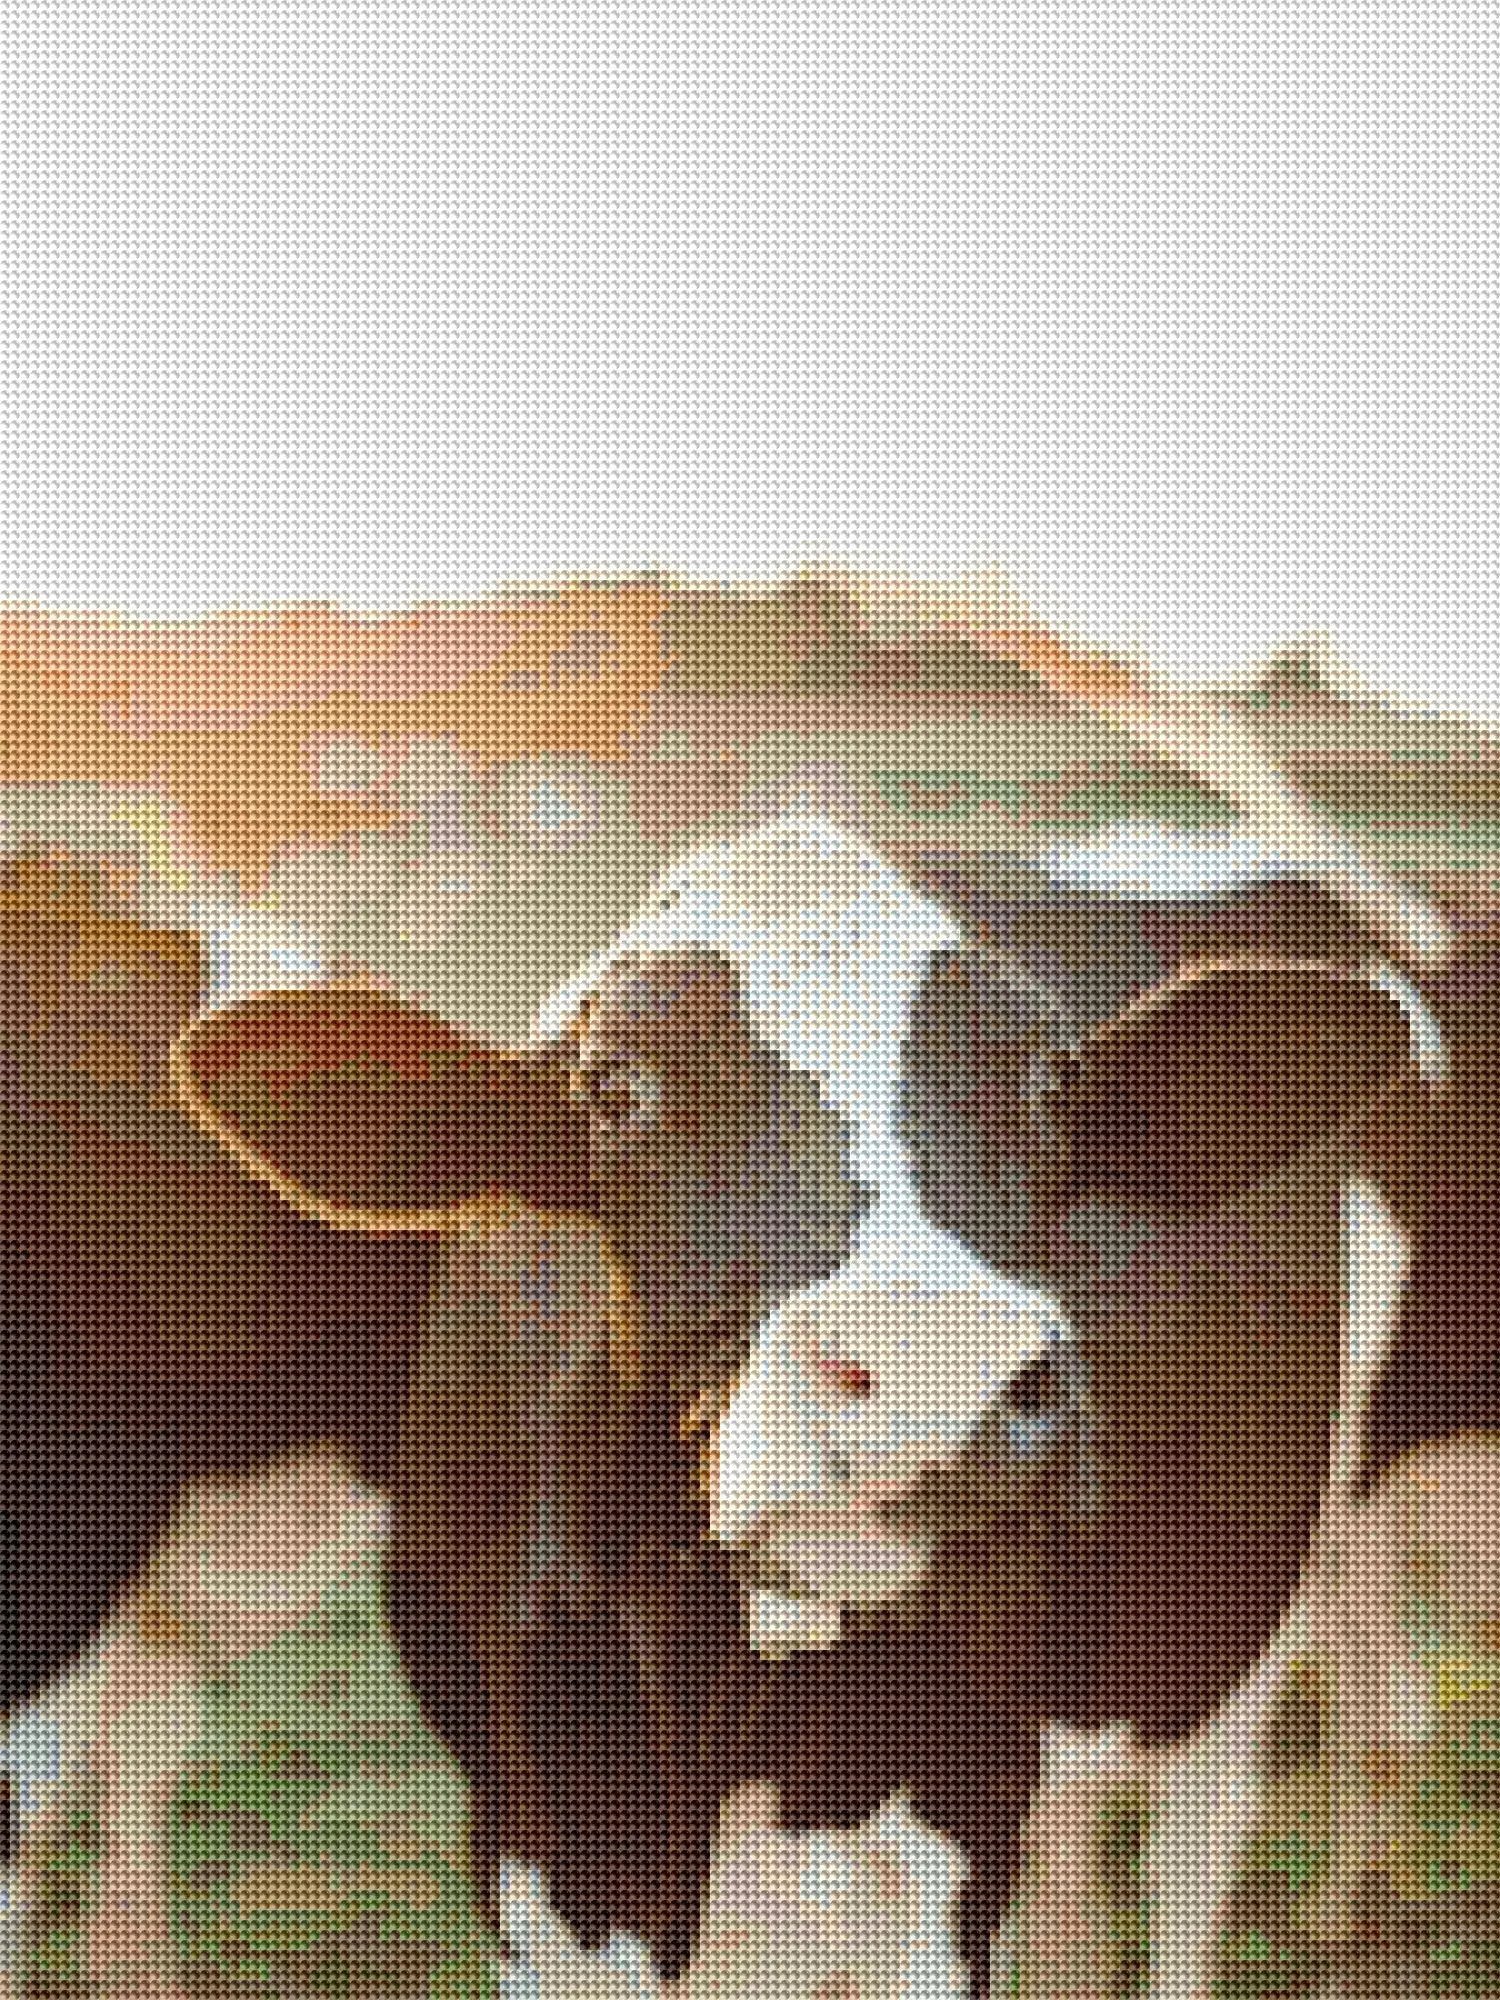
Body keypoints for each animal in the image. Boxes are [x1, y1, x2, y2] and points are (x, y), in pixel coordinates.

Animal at [171, 811, 1429, 1993]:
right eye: (613, 1086)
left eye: (1051, 1082)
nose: (936, 1369)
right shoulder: (527, 1849)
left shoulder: (951, 1846)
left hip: (1249, 1613)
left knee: (1196, 1848)